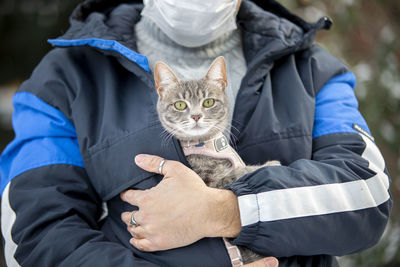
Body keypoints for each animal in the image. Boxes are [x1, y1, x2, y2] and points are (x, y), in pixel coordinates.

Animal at [153, 56, 278, 266]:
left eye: (208, 102)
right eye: (180, 105)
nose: (196, 115)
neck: (207, 144)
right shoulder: (209, 183)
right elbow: (237, 173)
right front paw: (269, 165)